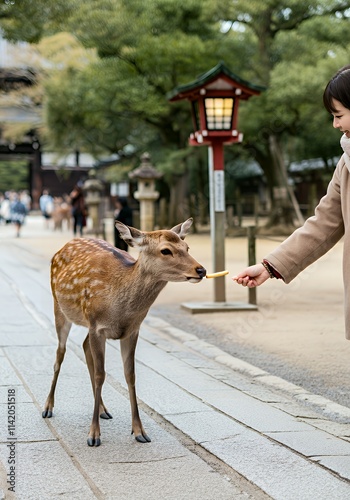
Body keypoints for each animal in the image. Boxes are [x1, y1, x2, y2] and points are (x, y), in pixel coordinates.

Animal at [41, 218, 206, 446]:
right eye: (166, 250)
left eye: (187, 247)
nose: (201, 270)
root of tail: (64, 246)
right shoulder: (97, 326)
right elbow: (101, 374)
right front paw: (93, 435)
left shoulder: (131, 330)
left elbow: (130, 375)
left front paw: (139, 431)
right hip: (60, 308)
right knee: (60, 353)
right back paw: (48, 407)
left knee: (84, 346)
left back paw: (103, 409)